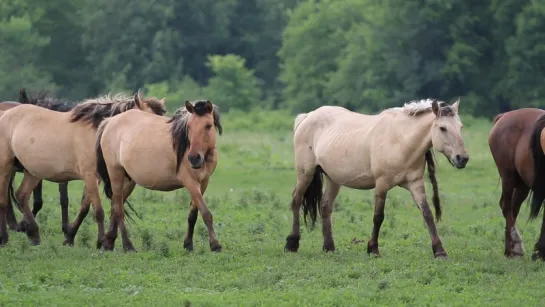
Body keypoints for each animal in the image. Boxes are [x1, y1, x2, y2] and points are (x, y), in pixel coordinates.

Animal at [94, 100, 222, 251]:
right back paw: (128, 246)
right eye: (189, 126)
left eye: (208, 126)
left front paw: (188, 244)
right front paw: (215, 244)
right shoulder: (191, 182)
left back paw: (108, 242)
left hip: (128, 181)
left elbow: (193, 214)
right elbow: (206, 213)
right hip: (116, 174)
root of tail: (109, 122)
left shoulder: (203, 183)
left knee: (115, 206)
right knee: (119, 210)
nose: (194, 158)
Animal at [284, 99, 468, 260]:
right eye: (443, 128)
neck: (400, 140)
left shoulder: (415, 184)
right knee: (296, 201)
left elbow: (427, 214)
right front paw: (373, 249)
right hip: (305, 173)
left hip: (333, 179)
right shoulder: (382, 184)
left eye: (460, 127)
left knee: (325, 207)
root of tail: (307, 117)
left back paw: (329, 247)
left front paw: (440, 251)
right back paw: (292, 243)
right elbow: (378, 216)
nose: (463, 158)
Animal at [486, 108, 545, 260]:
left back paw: (511, 248)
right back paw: (515, 247)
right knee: (506, 206)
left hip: (522, 184)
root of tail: (504, 116)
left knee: (513, 209)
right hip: (508, 176)